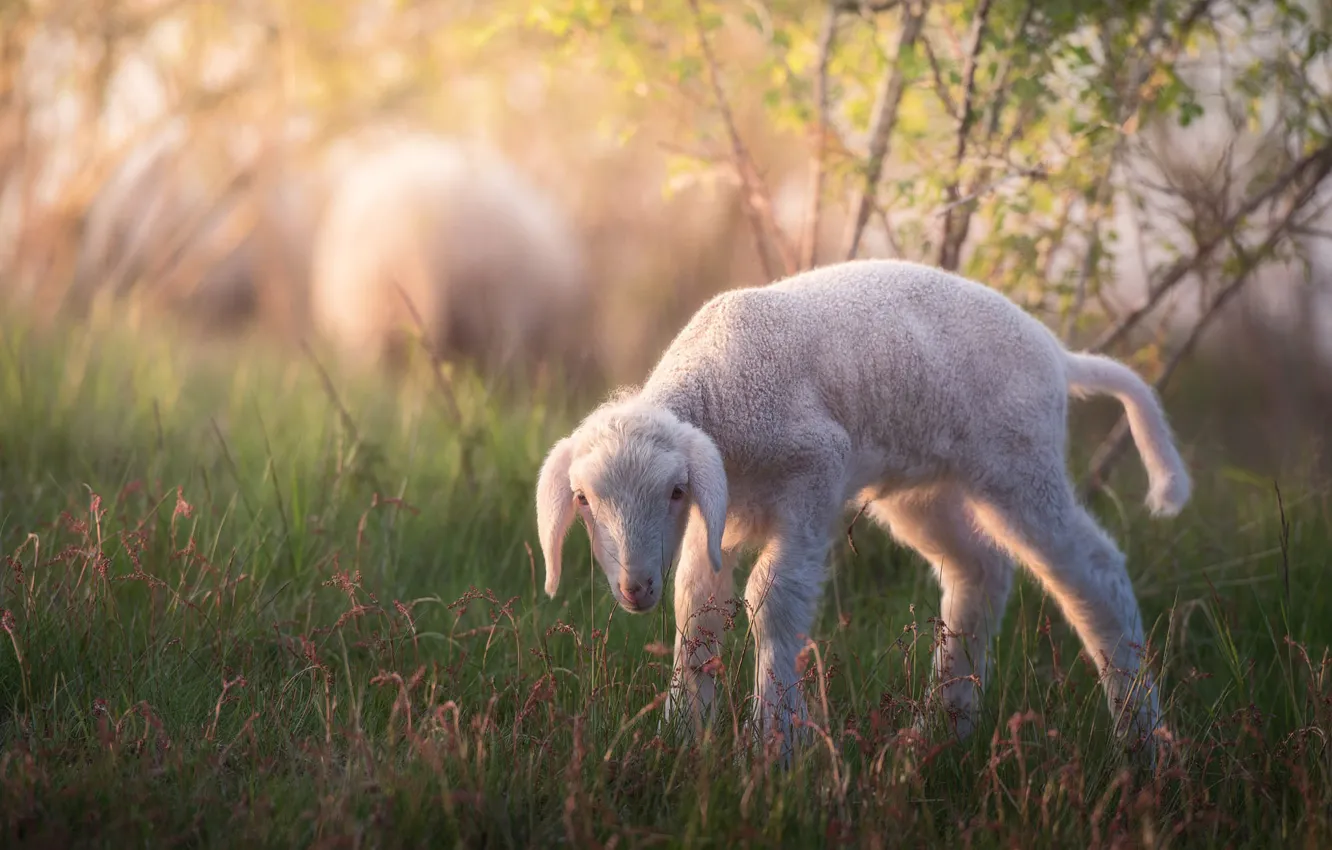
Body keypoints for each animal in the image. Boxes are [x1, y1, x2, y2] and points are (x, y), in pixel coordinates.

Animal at [535, 258, 1191, 763]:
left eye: (673, 490)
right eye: (583, 499)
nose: (634, 588)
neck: (720, 393)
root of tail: (1058, 354)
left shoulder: (815, 468)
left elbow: (771, 599)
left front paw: (777, 748)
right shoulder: (720, 506)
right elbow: (697, 605)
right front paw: (680, 736)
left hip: (1021, 460)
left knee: (1095, 572)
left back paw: (1141, 742)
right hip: (924, 488)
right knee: (980, 570)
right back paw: (939, 734)